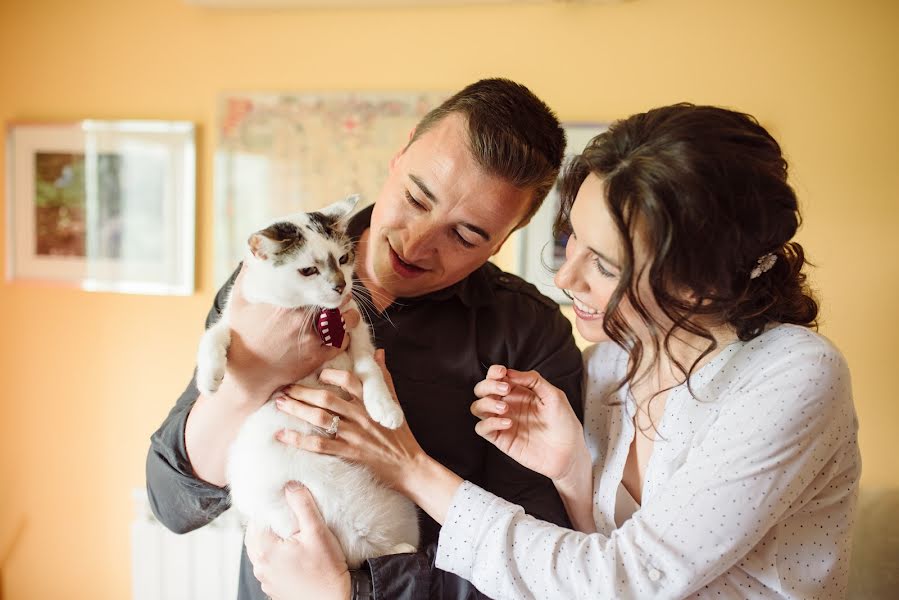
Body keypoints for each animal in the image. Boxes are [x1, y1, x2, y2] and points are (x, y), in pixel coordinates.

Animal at [195, 196, 420, 568]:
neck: (318, 316)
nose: (340, 286)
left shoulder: (359, 335)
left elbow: (369, 369)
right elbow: (215, 334)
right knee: (359, 552)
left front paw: (385, 409)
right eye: (308, 271)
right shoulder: (238, 320)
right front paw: (209, 378)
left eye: (343, 259)